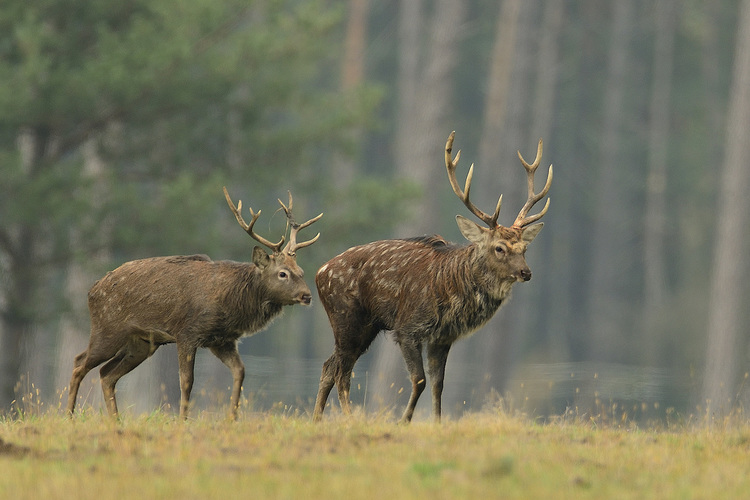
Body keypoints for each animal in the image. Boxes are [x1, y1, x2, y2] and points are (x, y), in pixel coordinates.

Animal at [67, 188, 320, 418]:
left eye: (301, 271)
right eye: (283, 273)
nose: (307, 296)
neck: (232, 301)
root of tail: (92, 291)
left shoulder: (222, 340)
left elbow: (240, 371)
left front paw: (232, 418)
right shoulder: (187, 333)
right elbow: (187, 381)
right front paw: (182, 421)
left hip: (141, 343)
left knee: (106, 374)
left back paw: (116, 422)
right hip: (108, 329)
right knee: (80, 362)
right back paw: (69, 415)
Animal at [312, 132, 552, 422]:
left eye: (524, 248)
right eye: (499, 248)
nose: (526, 272)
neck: (451, 294)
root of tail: (318, 273)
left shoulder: (443, 337)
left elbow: (438, 384)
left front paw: (437, 423)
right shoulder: (407, 328)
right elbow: (419, 380)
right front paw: (404, 421)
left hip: (367, 326)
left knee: (329, 366)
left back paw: (316, 419)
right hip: (346, 317)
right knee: (342, 372)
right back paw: (350, 418)